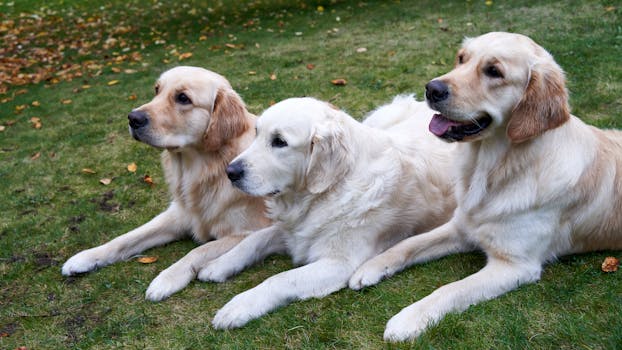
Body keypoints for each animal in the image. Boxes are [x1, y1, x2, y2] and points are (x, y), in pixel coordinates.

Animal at [61, 66, 272, 300]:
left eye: (183, 98)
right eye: (157, 89)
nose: (132, 118)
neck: (204, 171)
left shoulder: (248, 231)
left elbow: (199, 250)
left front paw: (166, 279)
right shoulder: (178, 214)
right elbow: (128, 237)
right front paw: (87, 256)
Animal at [199, 95, 458, 328]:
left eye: (279, 141)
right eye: (256, 133)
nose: (230, 172)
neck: (330, 189)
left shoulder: (339, 263)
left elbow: (280, 278)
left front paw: (239, 306)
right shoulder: (294, 231)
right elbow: (253, 240)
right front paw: (219, 264)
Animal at [348, 30, 622, 342]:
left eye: (494, 71)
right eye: (461, 58)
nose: (432, 89)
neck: (491, 168)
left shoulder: (515, 265)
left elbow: (451, 289)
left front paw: (408, 318)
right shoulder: (461, 227)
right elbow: (408, 244)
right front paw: (370, 267)